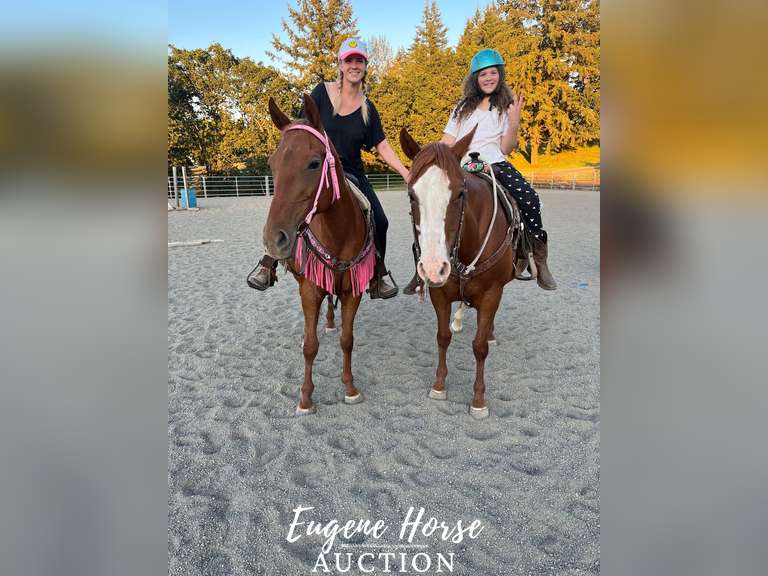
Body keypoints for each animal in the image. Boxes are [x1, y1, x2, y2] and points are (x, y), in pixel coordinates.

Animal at [263, 94, 377, 415]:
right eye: (272, 164)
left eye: (314, 163)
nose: (274, 239)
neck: (338, 233)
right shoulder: (309, 289)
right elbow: (309, 345)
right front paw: (305, 397)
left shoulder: (353, 291)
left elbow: (347, 340)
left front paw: (350, 388)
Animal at [399, 127, 522, 419]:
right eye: (412, 195)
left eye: (459, 194)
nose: (433, 267)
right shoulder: (440, 293)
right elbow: (442, 337)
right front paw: (439, 386)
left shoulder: (491, 293)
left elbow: (479, 347)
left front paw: (478, 400)